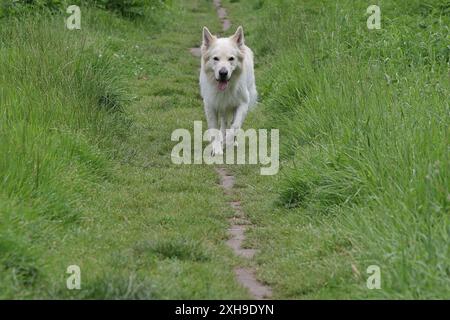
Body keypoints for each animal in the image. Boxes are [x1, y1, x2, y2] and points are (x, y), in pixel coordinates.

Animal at [200, 25, 256, 156]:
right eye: (216, 58)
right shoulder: (211, 105)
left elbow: (235, 126)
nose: (223, 73)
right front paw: (217, 148)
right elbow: (215, 129)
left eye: (231, 58)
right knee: (224, 123)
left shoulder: (242, 104)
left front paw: (227, 142)